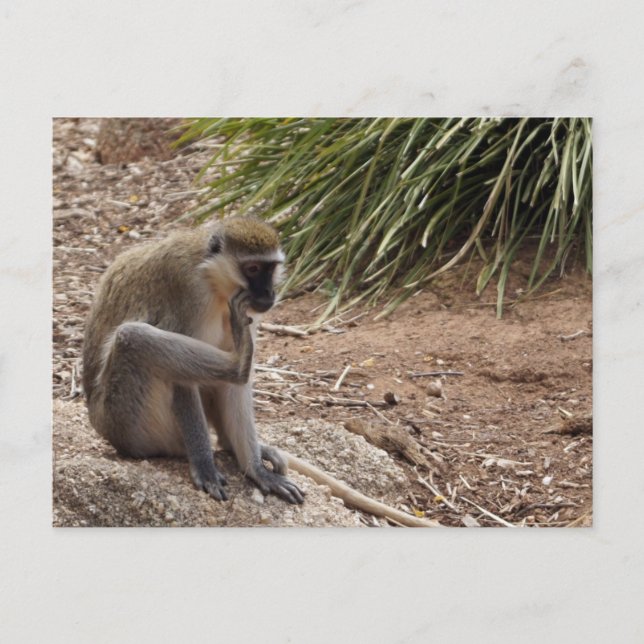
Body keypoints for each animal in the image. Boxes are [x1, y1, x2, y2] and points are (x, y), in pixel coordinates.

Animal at [82, 216, 304, 505]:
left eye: (270, 268)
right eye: (253, 269)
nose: (268, 293)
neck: (214, 280)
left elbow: (234, 391)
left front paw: (257, 469)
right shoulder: (187, 291)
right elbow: (182, 383)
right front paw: (205, 465)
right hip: (126, 425)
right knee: (131, 337)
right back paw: (239, 364)